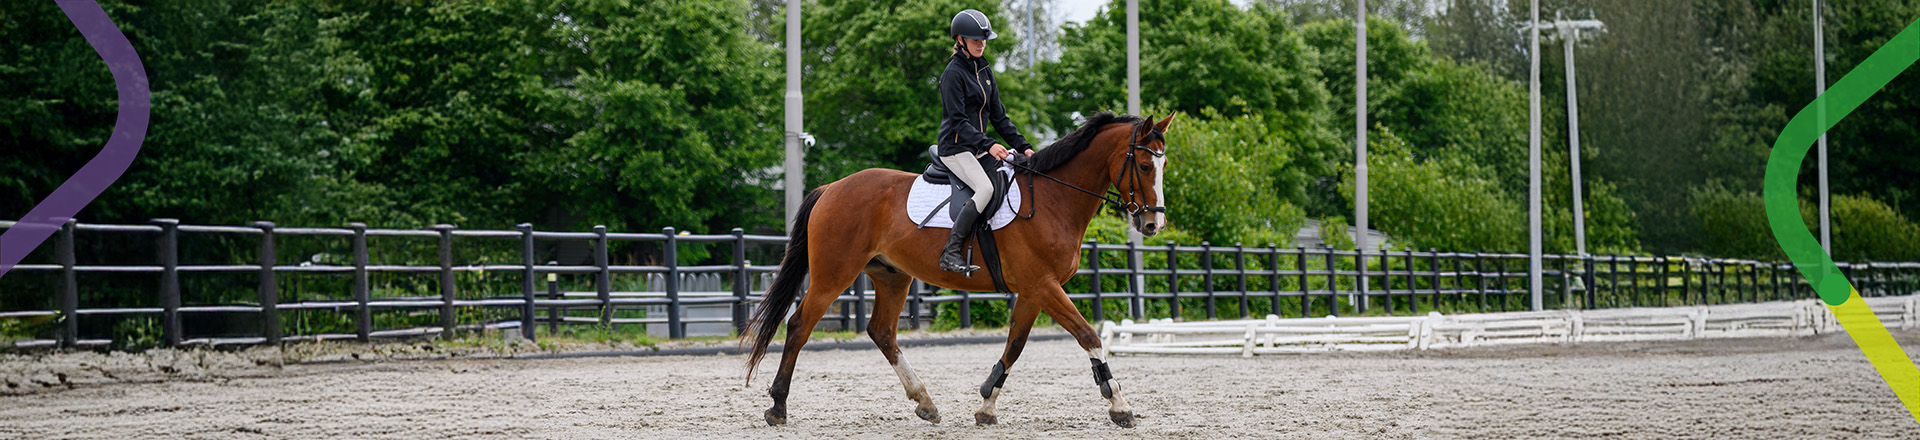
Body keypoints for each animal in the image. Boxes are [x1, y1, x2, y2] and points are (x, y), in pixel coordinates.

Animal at [740, 112, 1174, 428]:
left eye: (1163, 163)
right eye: (1143, 165)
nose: (1153, 224)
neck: (1054, 198)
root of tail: (831, 188)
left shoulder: (1034, 290)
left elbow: (1014, 346)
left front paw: (987, 407)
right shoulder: (1043, 285)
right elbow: (1088, 336)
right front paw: (1119, 404)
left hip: (893, 276)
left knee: (882, 332)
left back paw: (925, 403)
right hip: (834, 273)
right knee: (799, 326)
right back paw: (778, 407)